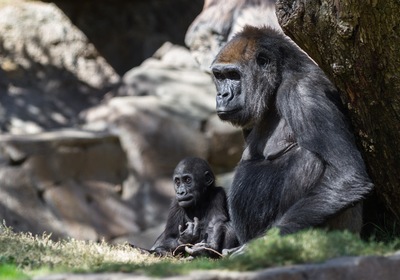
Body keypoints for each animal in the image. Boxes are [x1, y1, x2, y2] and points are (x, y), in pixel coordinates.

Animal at [211, 26, 374, 245]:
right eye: (219, 76)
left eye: (233, 75)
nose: (222, 96)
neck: (279, 79)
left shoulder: (304, 92)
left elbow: (347, 175)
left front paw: (259, 245)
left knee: (310, 160)